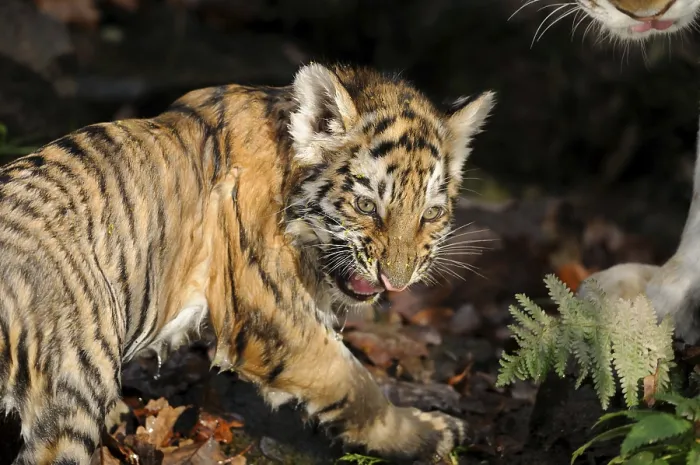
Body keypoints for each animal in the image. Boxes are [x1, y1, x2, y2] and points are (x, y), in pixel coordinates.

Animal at [0, 62, 495, 464]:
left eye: (430, 214)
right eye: (366, 205)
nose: (396, 281)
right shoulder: (274, 317)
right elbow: (357, 385)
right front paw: (432, 434)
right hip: (76, 379)